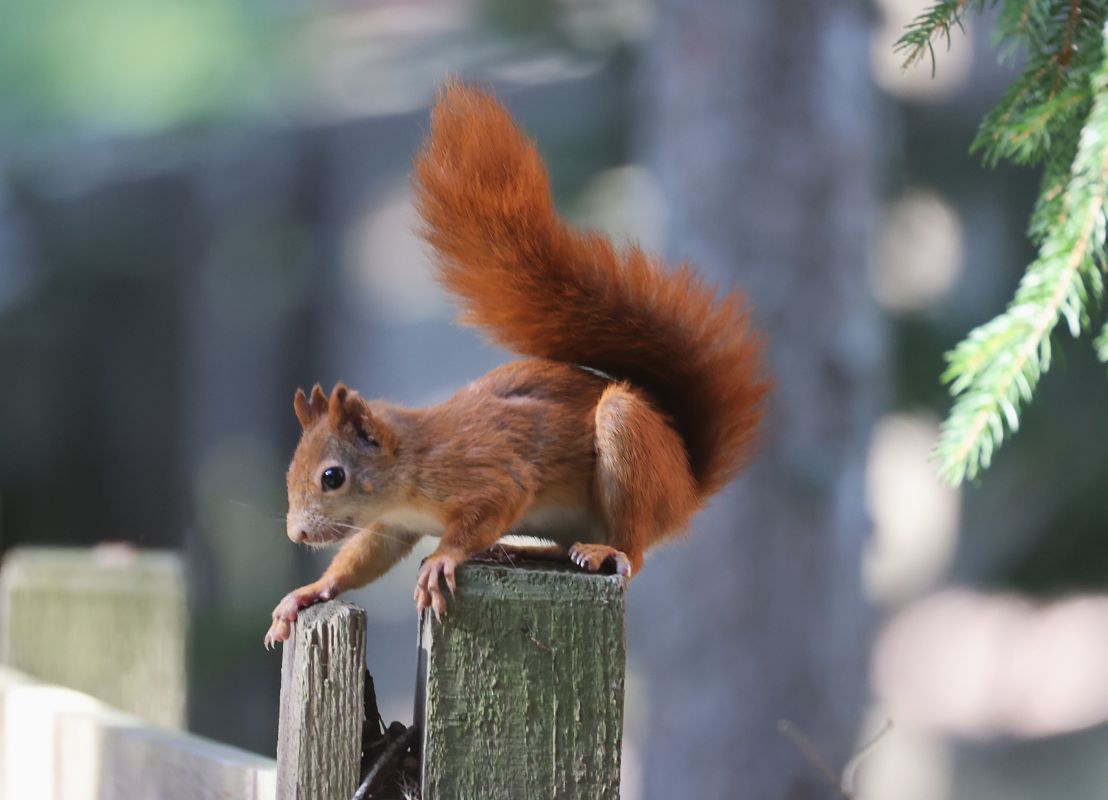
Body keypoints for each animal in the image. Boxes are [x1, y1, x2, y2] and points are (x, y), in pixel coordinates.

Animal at [264, 81, 769, 648]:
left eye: (333, 477)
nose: (296, 533)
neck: (410, 464)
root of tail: (686, 488)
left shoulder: (485, 473)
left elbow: (488, 507)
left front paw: (442, 560)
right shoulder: (393, 526)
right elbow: (363, 558)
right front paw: (306, 593)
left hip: (630, 452)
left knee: (634, 550)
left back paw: (602, 550)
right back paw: (525, 548)